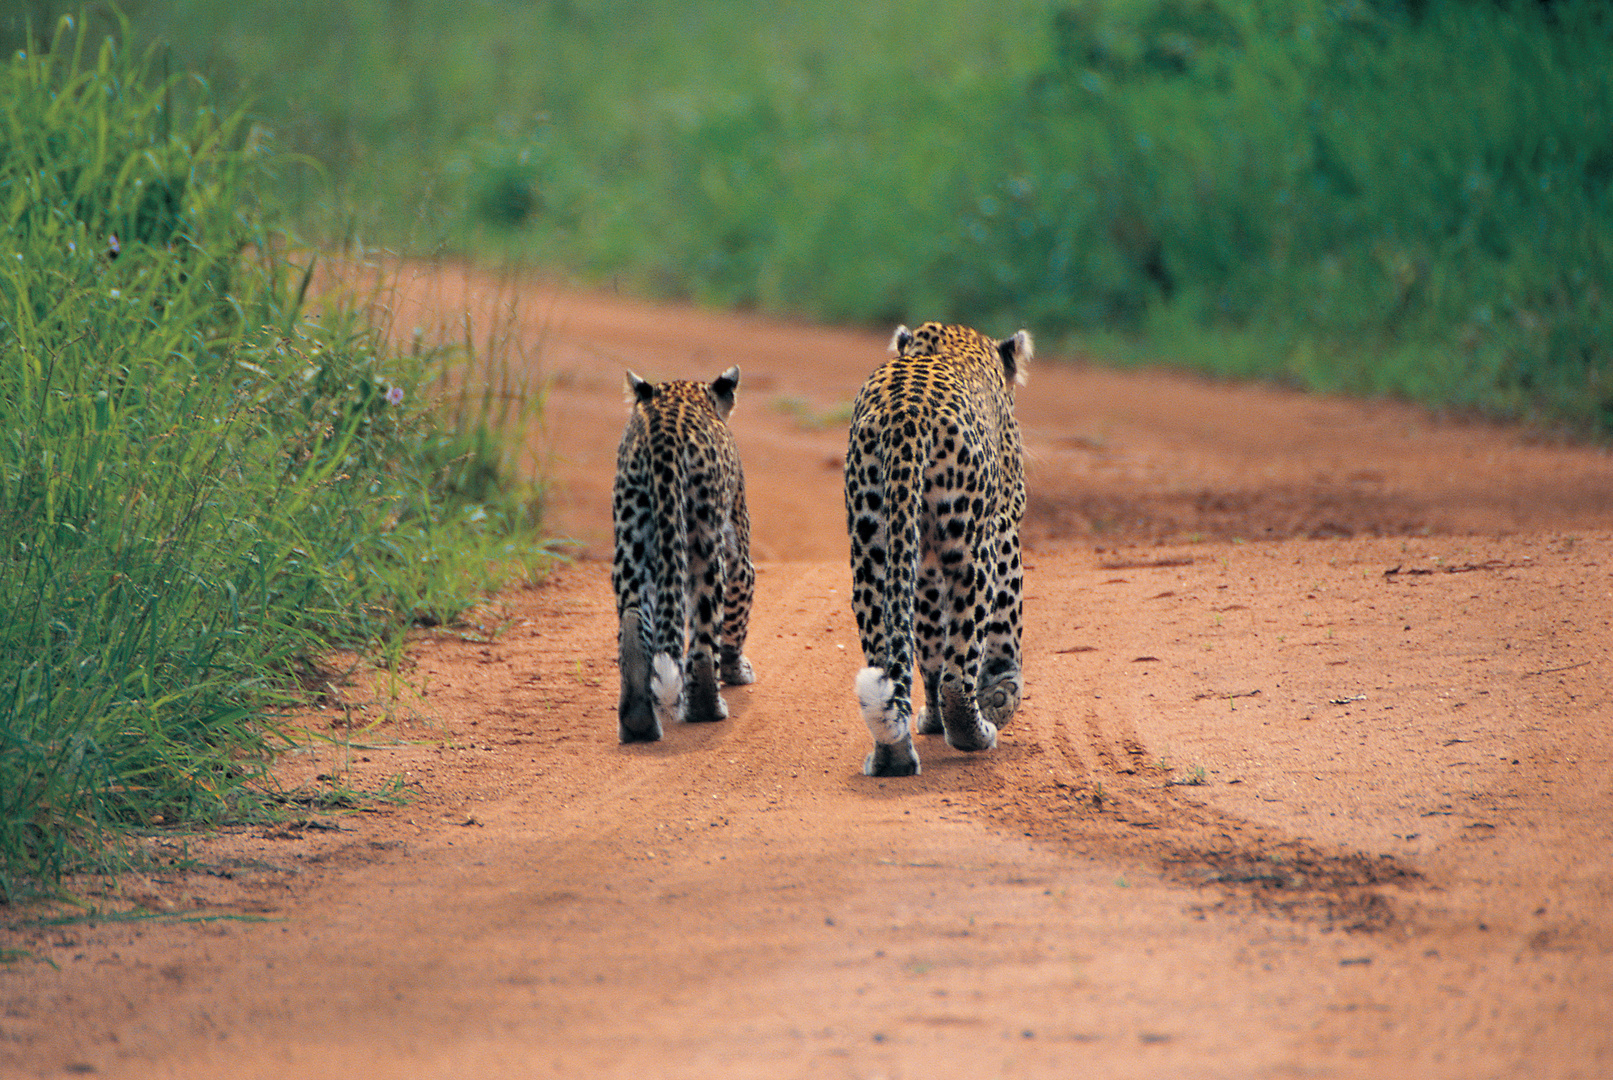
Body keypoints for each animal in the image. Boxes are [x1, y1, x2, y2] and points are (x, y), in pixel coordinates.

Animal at [609, 365, 754, 744]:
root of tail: (665, 438)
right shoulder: (739, 554)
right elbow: (735, 618)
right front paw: (737, 670)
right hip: (706, 542)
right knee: (703, 635)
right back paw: (707, 709)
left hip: (631, 536)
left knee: (633, 620)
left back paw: (638, 722)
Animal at [845, 322, 1032, 780]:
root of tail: (905, 417)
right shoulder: (1006, 528)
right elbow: (1005, 629)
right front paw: (1003, 690)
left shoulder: (925, 568)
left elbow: (928, 647)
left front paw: (930, 719)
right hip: (971, 553)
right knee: (959, 667)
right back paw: (975, 731)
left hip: (873, 553)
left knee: (889, 655)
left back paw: (892, 754)